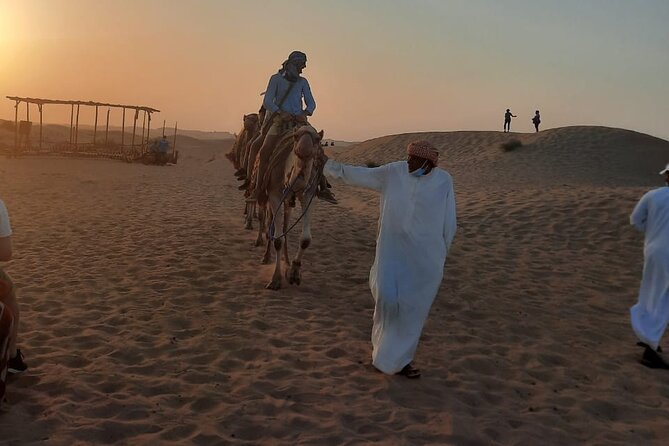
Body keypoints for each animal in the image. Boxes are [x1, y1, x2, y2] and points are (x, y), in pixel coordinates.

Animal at [256, 125, 324, 290]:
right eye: (295, 136)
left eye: (317, 139)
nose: (303, 149)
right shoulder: (275, 195)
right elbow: (277, 239)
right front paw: (275, 279)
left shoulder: (308, 195)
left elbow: (305, 239)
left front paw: (294, 273)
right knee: (269, 224)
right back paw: (266, 257)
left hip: (288, 204)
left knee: (284, 226)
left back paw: (286, 261)